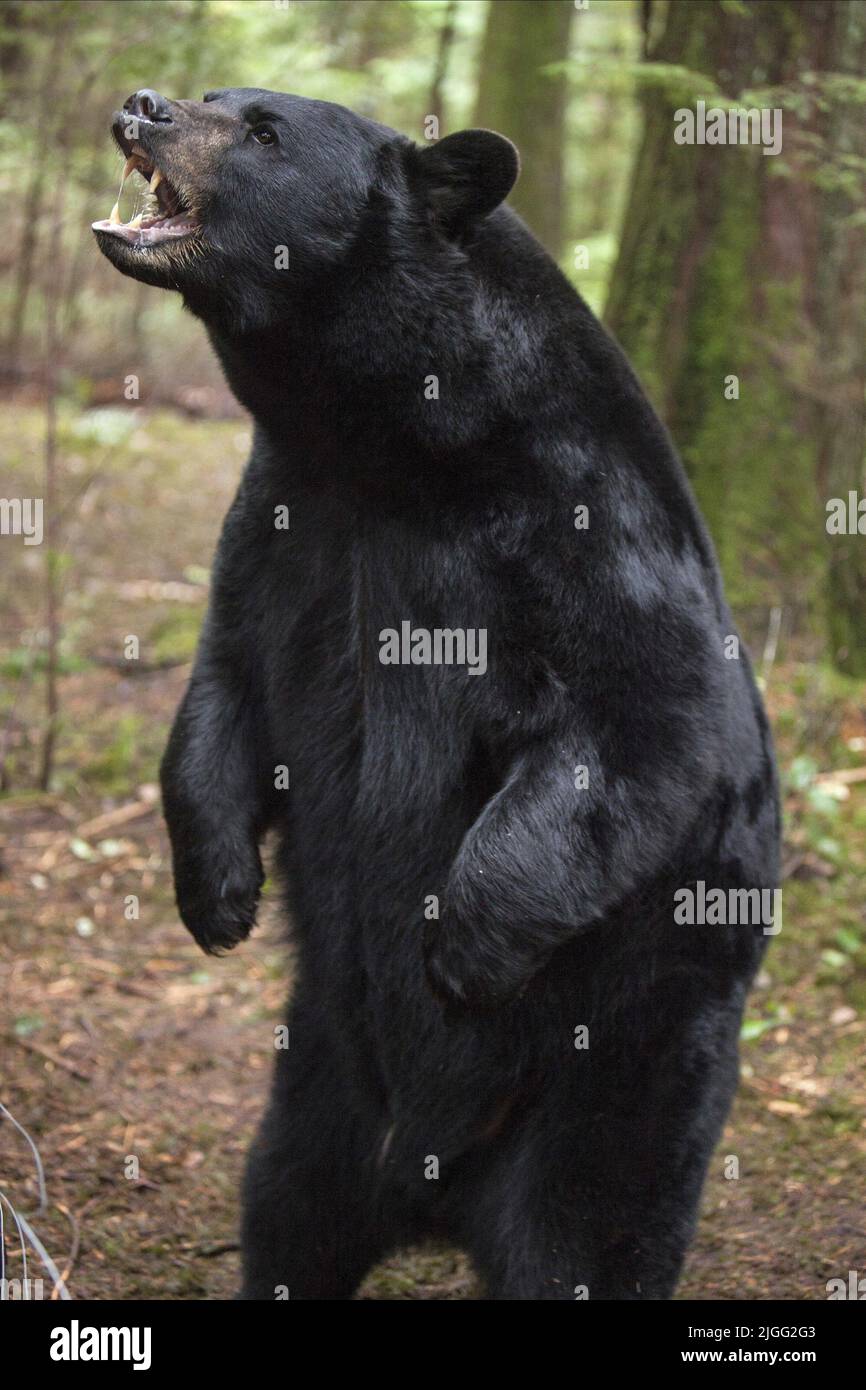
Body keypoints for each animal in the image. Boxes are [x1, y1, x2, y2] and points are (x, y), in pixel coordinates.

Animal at [93, 86, 780, 1301]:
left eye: (262, 130)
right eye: (215, 98)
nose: (145, 103)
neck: (388, 445)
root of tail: (432, 1191)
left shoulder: (584, 519)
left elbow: (645, 716)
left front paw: (464, 946)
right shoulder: (285, 524)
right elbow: (225, 685)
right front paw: (217, 893)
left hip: (628, 1066)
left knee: (590, 1235)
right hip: (317, 1083)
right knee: (289, 1211)